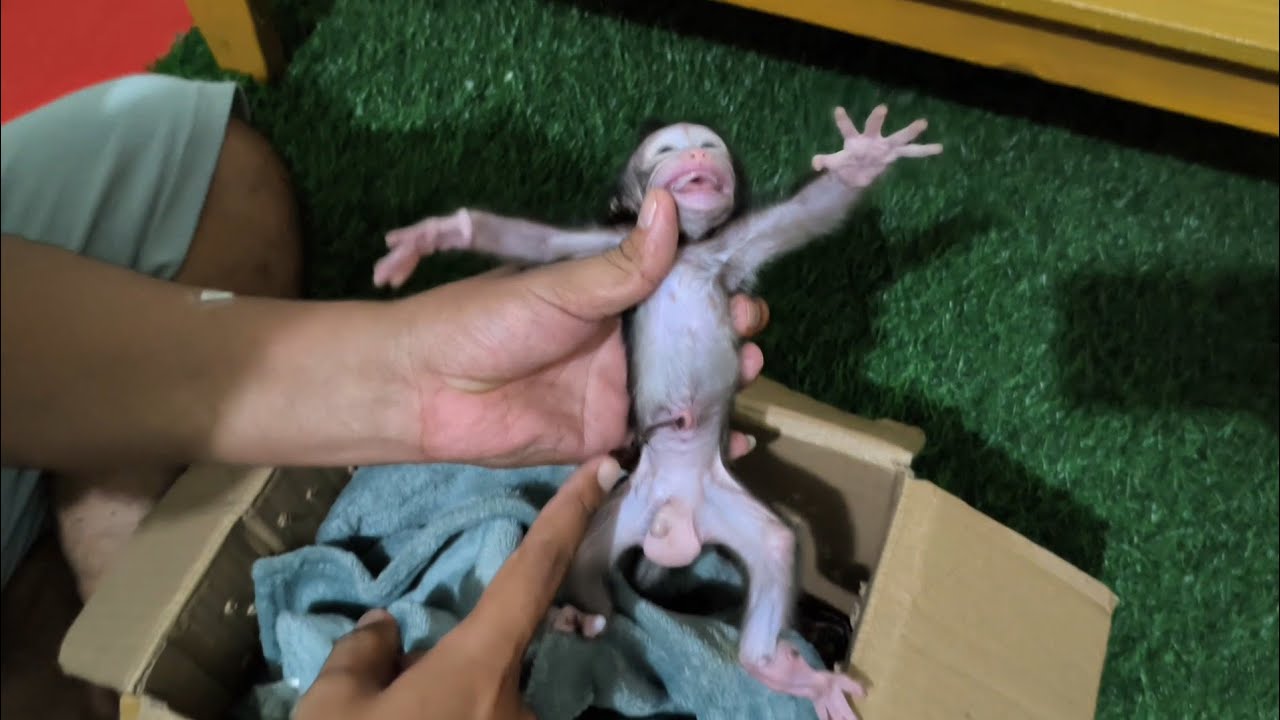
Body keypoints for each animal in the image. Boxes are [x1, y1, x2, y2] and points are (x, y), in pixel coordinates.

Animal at [373, 104, 942, 719]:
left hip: (716, 502)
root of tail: (677, 522)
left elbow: (808, 215)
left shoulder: (734, 249)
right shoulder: (609, 245)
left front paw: (862, 160)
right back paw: (580, 619)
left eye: (709, 146)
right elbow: (542, 244)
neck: (685, 250)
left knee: (775, 544)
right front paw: (444, 232)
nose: (694, 155)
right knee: (585, 556)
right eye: (667, 150)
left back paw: (779, 670)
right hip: (626, 507)